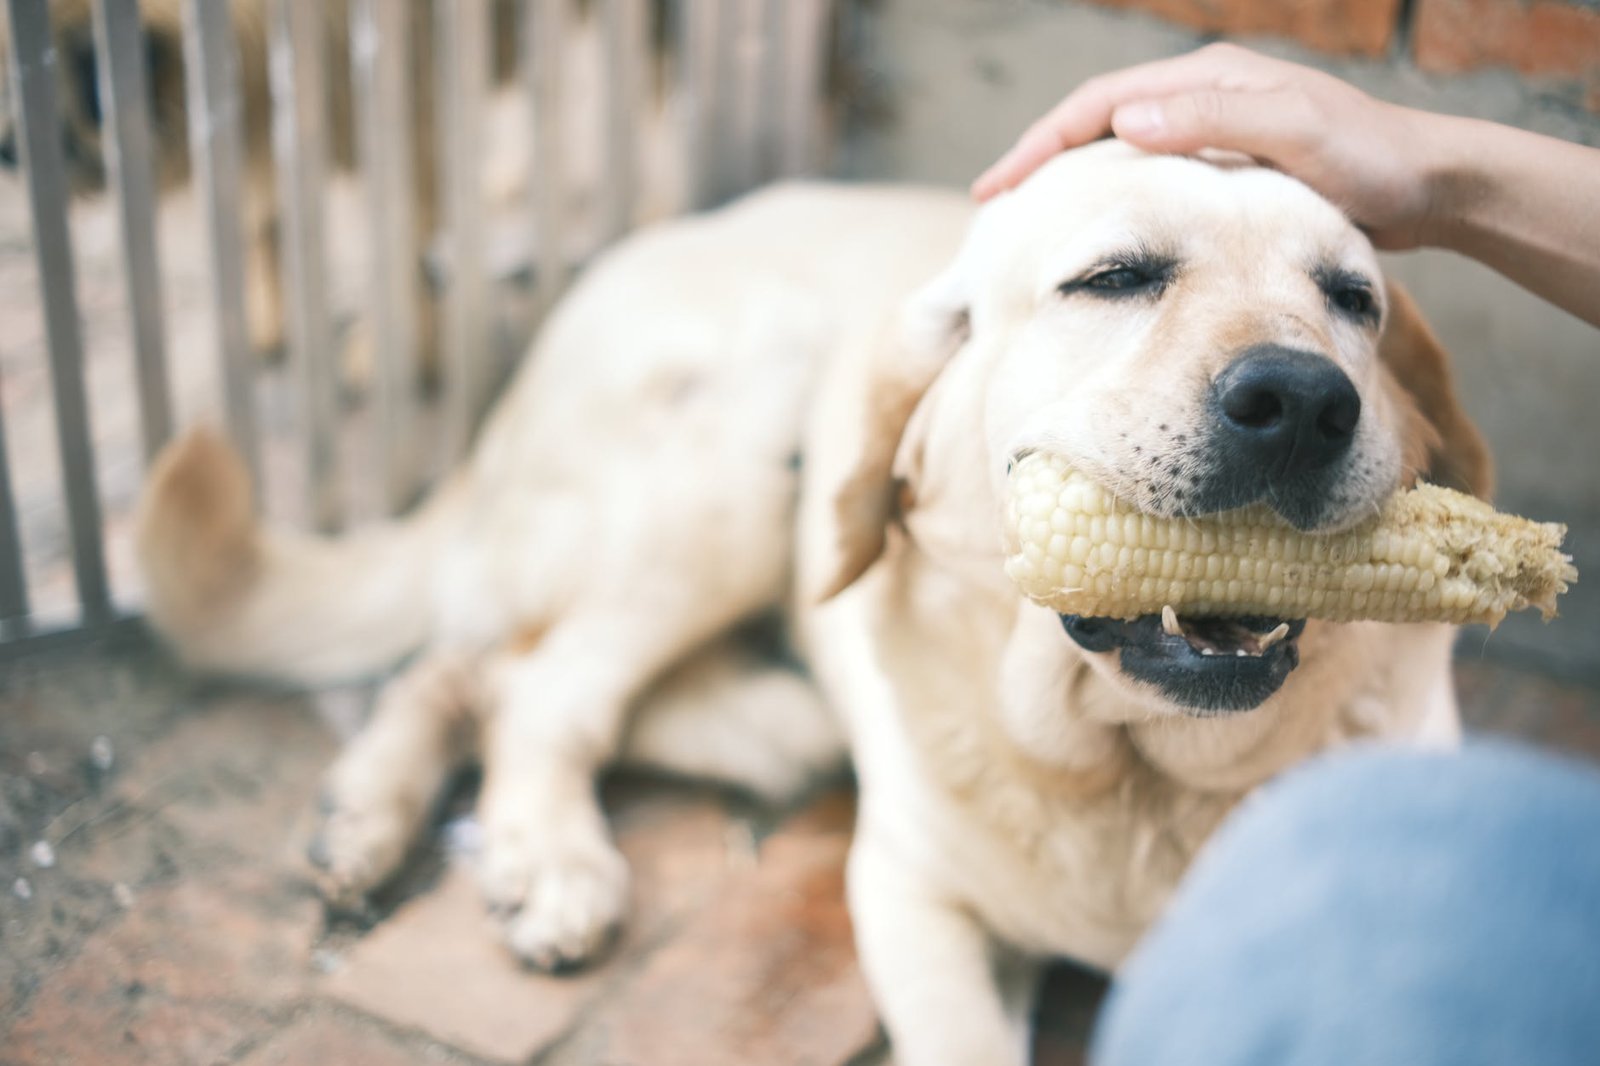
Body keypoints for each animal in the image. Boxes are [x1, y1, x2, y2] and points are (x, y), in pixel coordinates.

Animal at [134, 139, 1484, 1056]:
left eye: (1351, 300)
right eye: (1114, 277)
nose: (1300, 400)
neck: (1133, 779)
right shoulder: (910, 898)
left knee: (488, 667)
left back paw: (370, 813)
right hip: (739, 460)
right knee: (532, 682)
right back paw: (536, 853)